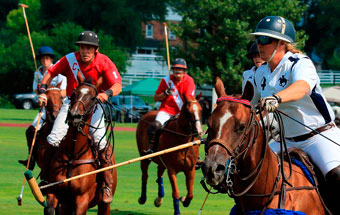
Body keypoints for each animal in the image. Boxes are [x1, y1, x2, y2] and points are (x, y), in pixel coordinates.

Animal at [43, 81, 117, 215]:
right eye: (73, 93)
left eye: (93, 98)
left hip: (104, 204)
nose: (74, 116)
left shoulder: (82, 199)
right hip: (67, 204)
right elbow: (49, 209)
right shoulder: (55, 193)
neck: (73, 154)